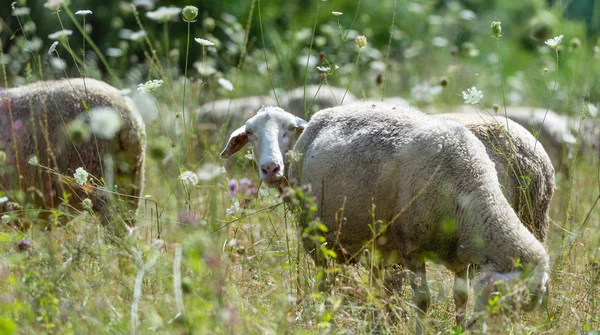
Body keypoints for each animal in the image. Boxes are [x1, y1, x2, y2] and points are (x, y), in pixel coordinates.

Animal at [220, 103, 548, 334]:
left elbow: (460, 298)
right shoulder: (409, 246)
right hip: (318, 234)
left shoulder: (459, 256)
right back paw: (326, 319)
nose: (270, 169)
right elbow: (423, 300)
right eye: (250, 133)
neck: (471, 184)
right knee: (327, 282)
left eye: (288, 128)